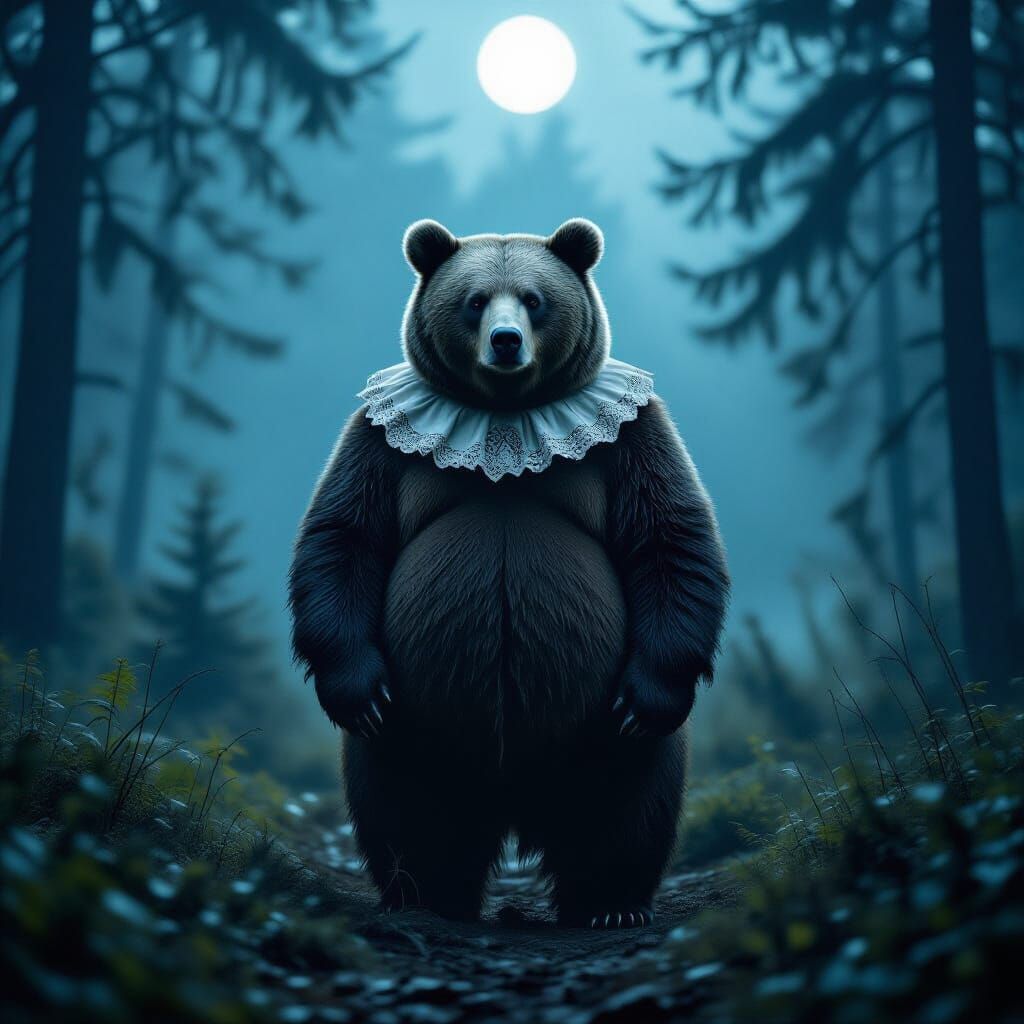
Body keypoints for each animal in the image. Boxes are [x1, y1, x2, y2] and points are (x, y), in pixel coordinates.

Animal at [288, 218, 729, 928]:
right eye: (474, 301)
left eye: (533, 299)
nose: (505, 341)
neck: (503, 417)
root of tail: (517, 799)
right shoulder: (380, 441)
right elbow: (344, 535)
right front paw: (358, 689)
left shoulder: (631, 437)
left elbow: (669, 537)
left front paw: (648, 697)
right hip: (425, 714)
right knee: (405, 799)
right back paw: (426, 895)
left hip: (589, 719)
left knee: (628, 795)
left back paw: (611, 901)